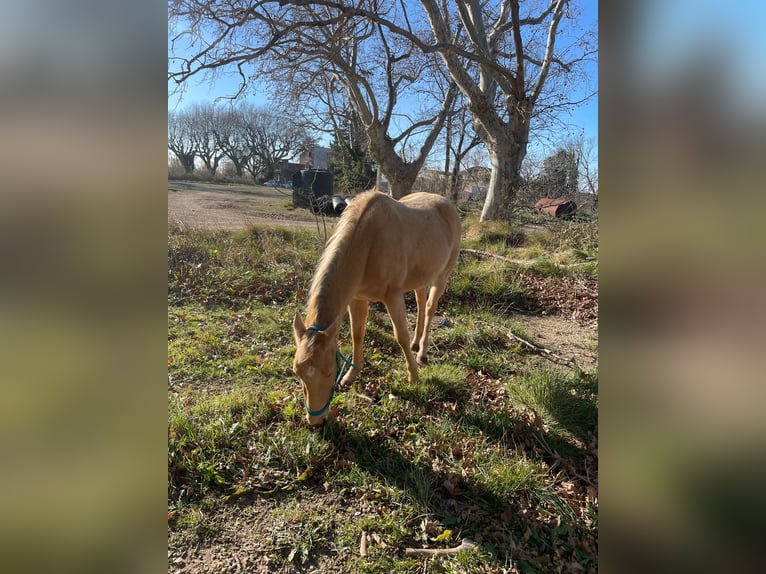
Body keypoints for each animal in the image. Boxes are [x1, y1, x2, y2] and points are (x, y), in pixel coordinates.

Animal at [294, 191, 462, 426]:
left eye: (328, 372)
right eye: (298, 373)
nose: (316, 421)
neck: (368, 241)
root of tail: (447, 205)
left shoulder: (392, 296)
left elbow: (400, 335)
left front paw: (414, 376)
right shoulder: (356, 298)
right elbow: (357, 333)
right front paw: (351, 375)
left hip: (442, 274)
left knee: (429, 308)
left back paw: (422, 352)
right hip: (419, 277)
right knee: (420, 302)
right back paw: (416, 342)